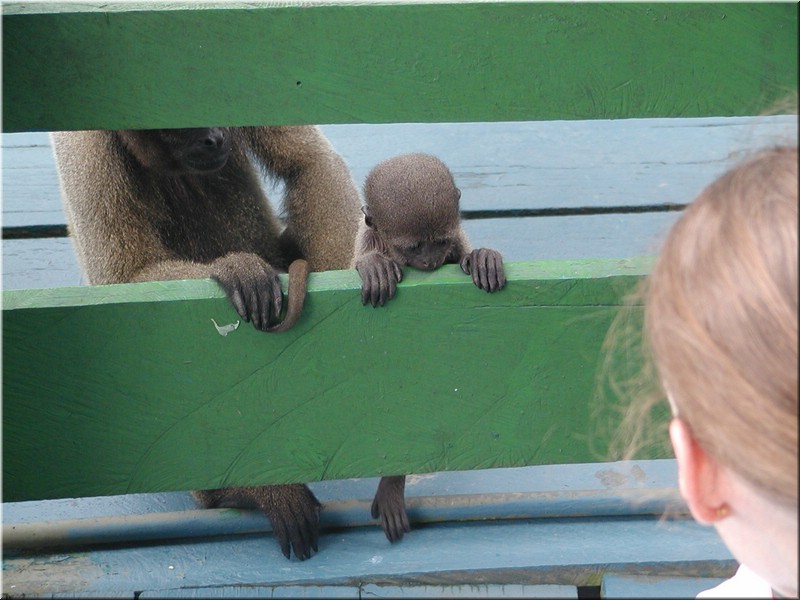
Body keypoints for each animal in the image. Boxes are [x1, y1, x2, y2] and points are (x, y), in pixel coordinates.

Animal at [51, 126, 362, 560]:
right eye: (177, 132)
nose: (214, 139)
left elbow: (309, 163)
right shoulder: (87, 145)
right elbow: (124, 282)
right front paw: (232, 270)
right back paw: (245, 491)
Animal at [351, 152, 506, 542]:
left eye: (439, 242)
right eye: (413, 247)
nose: (431, 261)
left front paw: (480, 257)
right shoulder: (367, 237)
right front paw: (373, 266)